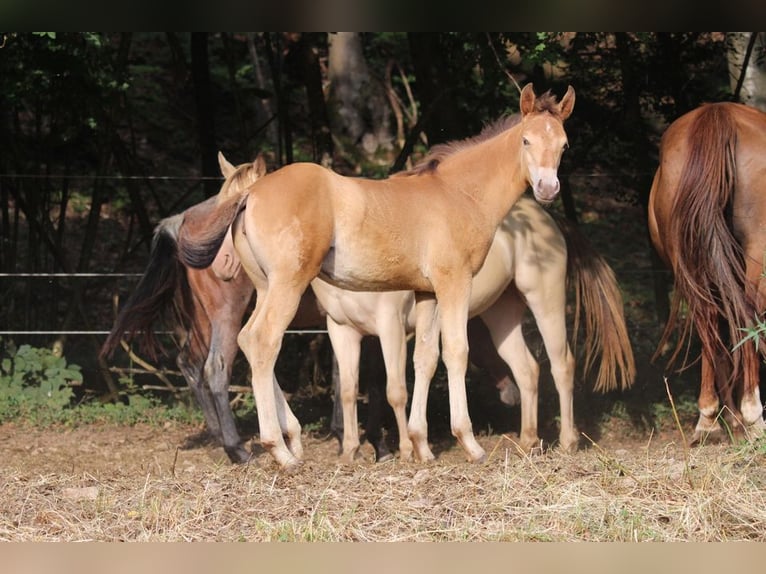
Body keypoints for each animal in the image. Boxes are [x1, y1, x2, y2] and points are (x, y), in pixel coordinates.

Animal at [178, 85, 576, 472]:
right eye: (526, 140)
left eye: (563, 145)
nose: (548, 188)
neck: (459, 194)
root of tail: (251, 194)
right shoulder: (453, 284)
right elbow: (455, 353)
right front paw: (468, 444)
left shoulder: (425, 294)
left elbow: (424, 359)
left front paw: (421, 448)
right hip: (288, 285)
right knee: (262, 341)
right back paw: (281, 451)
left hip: (265, 287)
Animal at [648, 101, 766, 444]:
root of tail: (717, 112)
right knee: (748, 317)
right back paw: (752, 414)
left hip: (691, 266)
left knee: (708, 321)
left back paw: (711, 418)